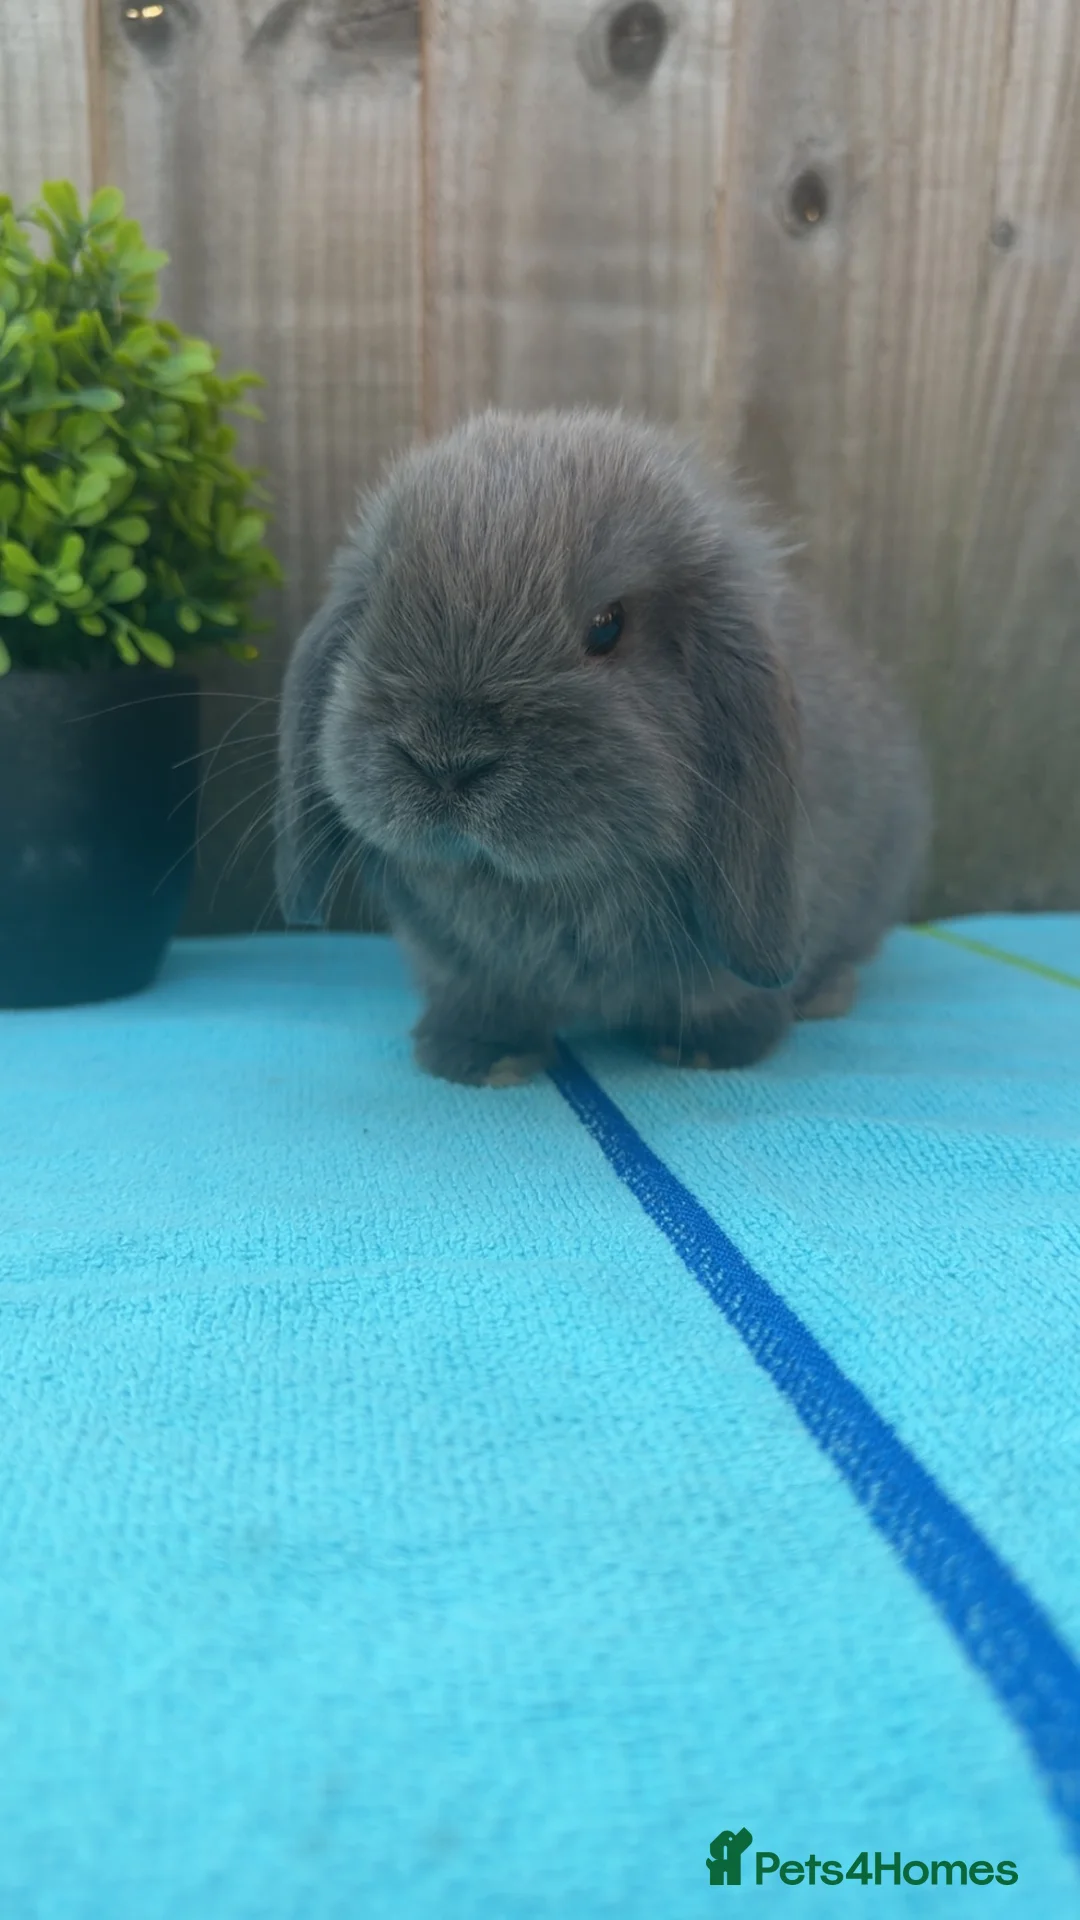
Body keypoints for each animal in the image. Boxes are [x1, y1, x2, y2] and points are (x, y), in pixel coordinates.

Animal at [275, 408, 931, 1086]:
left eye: (607, 626)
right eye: (376, 606)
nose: (445, 759)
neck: (542, 890)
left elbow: (726, 995)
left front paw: (706, 1050)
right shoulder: (462, 966)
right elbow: (481, 998)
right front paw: (481, 1058)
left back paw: (826, 995)